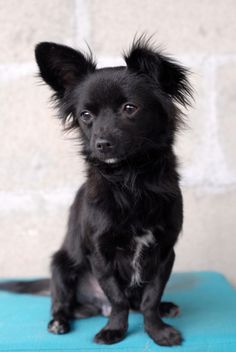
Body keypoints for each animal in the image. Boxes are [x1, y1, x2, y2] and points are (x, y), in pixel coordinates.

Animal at [0, 37, 192, 346]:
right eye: (85, 115)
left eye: (130, 108)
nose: (101, 144)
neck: (130, 179)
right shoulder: (100, 254)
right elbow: (118, 299)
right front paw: (115, 330)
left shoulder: (164, 250)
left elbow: (150, 297)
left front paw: (158, 331)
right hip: (60, 266)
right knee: (64, 302)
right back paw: (60, 321)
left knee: (138, 300)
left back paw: (166, 307)